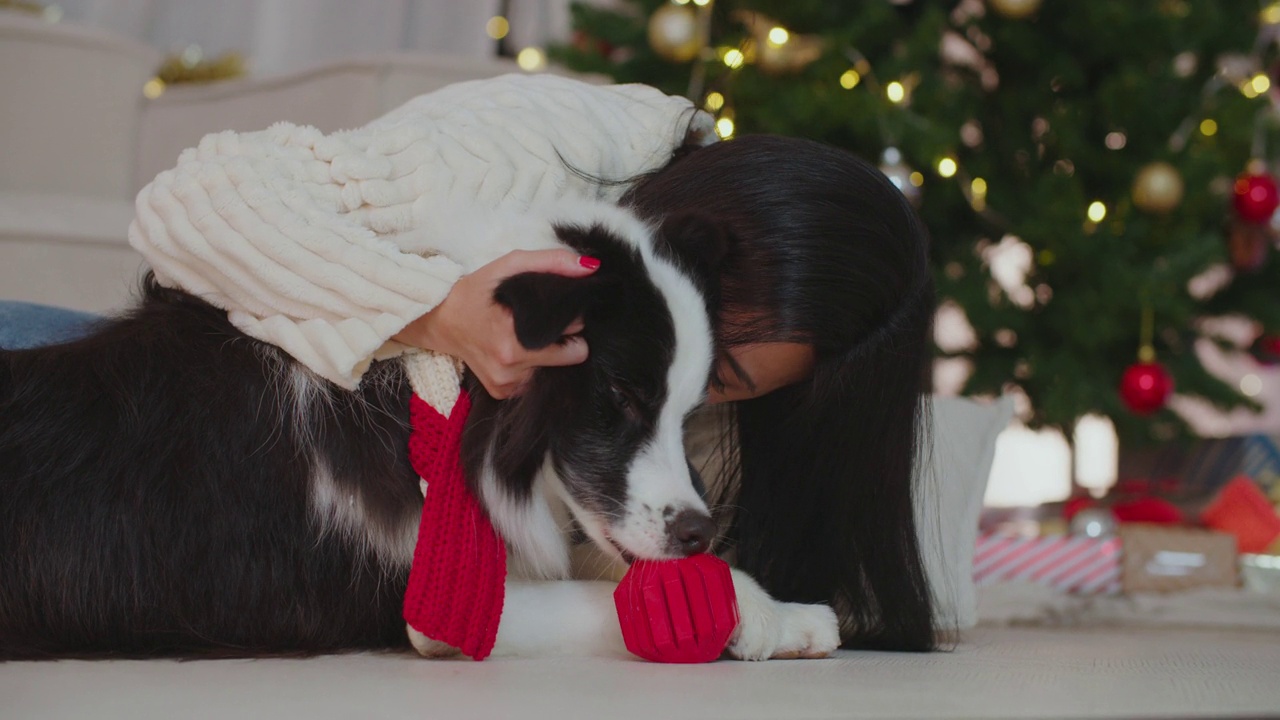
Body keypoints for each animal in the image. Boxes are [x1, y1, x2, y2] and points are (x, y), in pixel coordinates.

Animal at [2, 197, 839, 661]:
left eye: (687, 408)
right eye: (622, 393)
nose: (700, 530)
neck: (440, 387)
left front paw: (787, 616)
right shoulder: (425, 606)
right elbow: (610, 596)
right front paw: (771, 617)